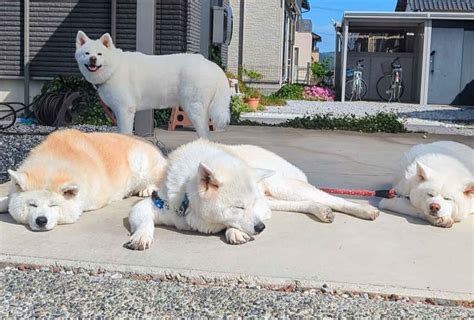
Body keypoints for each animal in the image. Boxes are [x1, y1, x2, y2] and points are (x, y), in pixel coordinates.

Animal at [0, 129, 167, 231]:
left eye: (53, 205)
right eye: (32, 204)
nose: (41, 220)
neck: (55, 158)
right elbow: (8, 199)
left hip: (142, 163)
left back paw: (147, 188)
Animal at [74, 30, 230, 138]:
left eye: (99, 54)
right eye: (87, 53)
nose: (93, 59)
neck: (114, 68)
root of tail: (210, 64)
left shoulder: (125, 110)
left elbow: (125, 133)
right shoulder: (118, 111)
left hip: (195, 110)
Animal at [128, 139, 380, 249]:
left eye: (249, 204)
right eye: (238, 206)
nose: (261, 228)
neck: (187, 202)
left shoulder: (260, 206)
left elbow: (236, 224)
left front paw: (235, 232)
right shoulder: (157, 204)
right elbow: (143, 218)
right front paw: (141, 236)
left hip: (283, 187)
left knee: (332, 198)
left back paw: (364, 209)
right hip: (277, 197)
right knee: (306, 202)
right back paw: (321, 211)